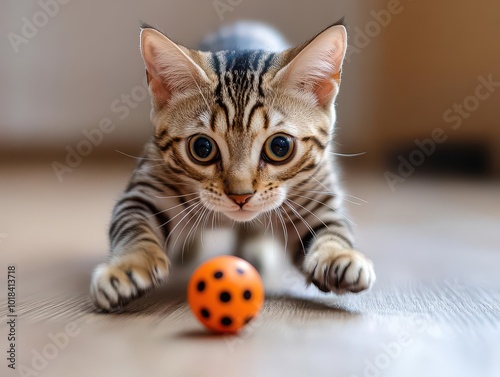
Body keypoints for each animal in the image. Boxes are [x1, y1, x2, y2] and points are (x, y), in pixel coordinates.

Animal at [91, 19, 376, 310]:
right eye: (202, 148)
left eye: (280, 147)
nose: (241, 196)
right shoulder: (146, 188)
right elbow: (133, 227)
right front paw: (126, 268)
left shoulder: (316, 195)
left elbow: (332, 228)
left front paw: (338, 256)